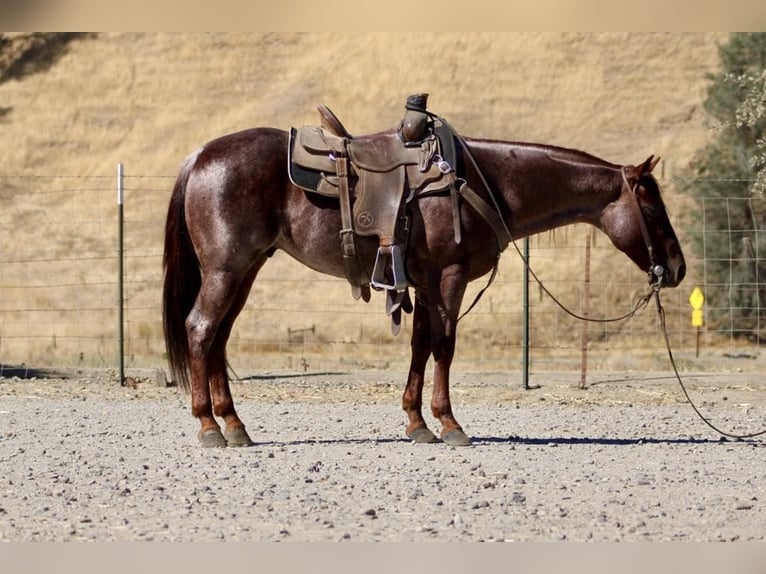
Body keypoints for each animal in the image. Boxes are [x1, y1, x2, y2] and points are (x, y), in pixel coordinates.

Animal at [162, 123, 686, 448]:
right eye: (653, 208)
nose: (678, 268)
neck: (481, 181)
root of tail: (200, 156)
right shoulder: (450, 277)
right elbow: (444, 345)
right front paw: (450, 423)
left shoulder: (425, 284)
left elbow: (419, 345)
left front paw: (417, 423)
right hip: (226, 271)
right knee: (200, 329)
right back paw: (209, 426)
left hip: (244, 271)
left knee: (218, 337)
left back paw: (234, 425)